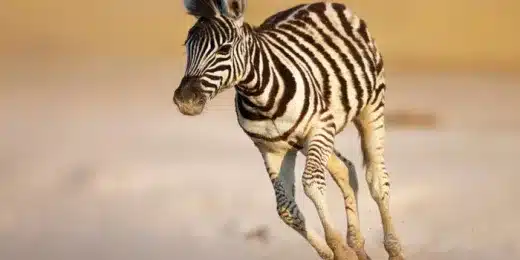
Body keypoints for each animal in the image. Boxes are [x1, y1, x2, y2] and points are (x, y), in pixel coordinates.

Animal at [173, 1, 404, 258]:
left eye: (224, 49)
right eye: (187, 47)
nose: (184, 100)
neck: (260, 99)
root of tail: (318, 3)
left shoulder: (319, 127)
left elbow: (312, 183)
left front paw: (338, 248)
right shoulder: (271, 149)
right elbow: (285, 209)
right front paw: (334, 252)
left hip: (369, 109)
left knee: (377, 179)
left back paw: (394, 249)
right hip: (306, 140)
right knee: (345, 169)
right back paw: (357, 245)